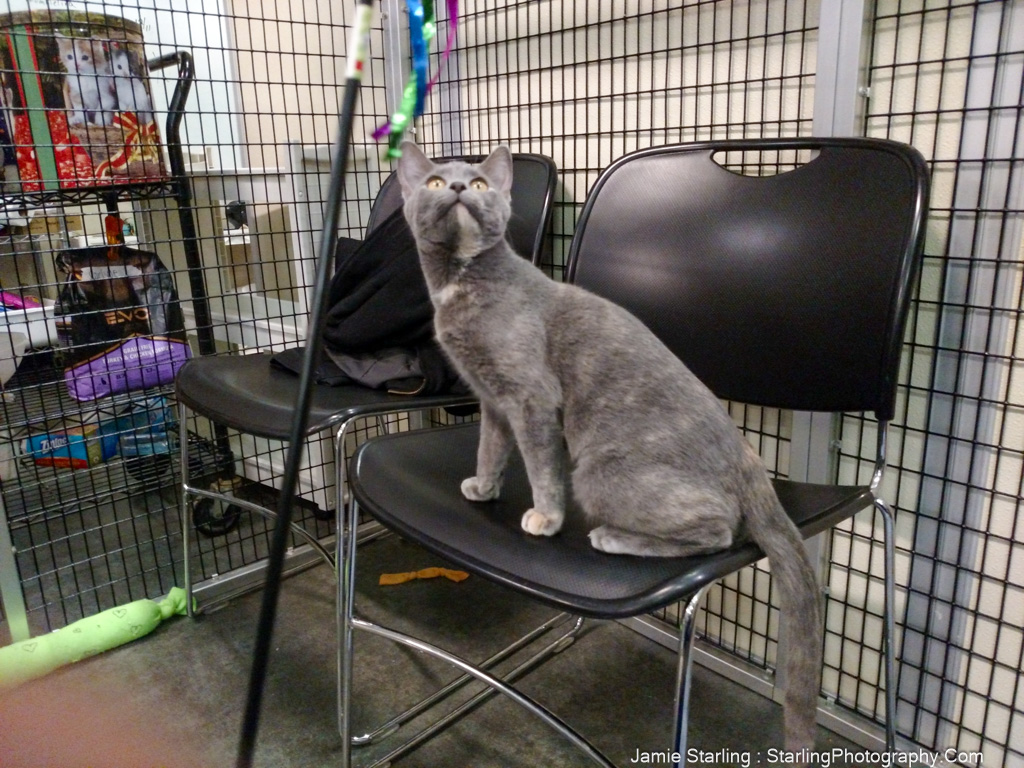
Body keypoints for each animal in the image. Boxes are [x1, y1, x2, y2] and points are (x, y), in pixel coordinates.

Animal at [395, 141, 819, 753]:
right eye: (432, 181)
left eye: (478, 183)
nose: (455, 188)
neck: (459, 281)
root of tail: (751, 464)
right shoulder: (492, 400)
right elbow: (489, 449)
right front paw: (483, 486)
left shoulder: (531, 398)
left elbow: (540, 467)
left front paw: (545, 518)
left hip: (600, 474)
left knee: (717, 531)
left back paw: (611, 537)